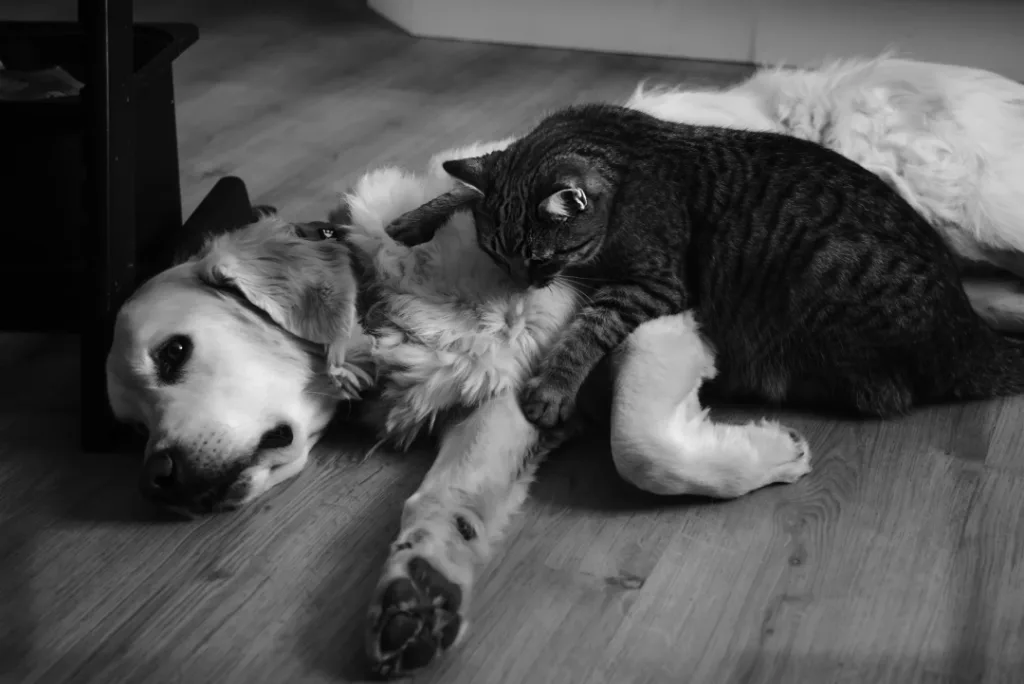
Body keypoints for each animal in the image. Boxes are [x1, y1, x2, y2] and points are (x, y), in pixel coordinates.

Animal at [385, 103, 1024, 428]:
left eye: (544, 258)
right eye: (497, 254)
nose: (521, 285)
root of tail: (968, 331)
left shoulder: (654, 284)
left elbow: (586, 330)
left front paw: (554, 387)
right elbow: (461, 189)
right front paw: (413, 219)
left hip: (818, 284)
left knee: (883, 395)